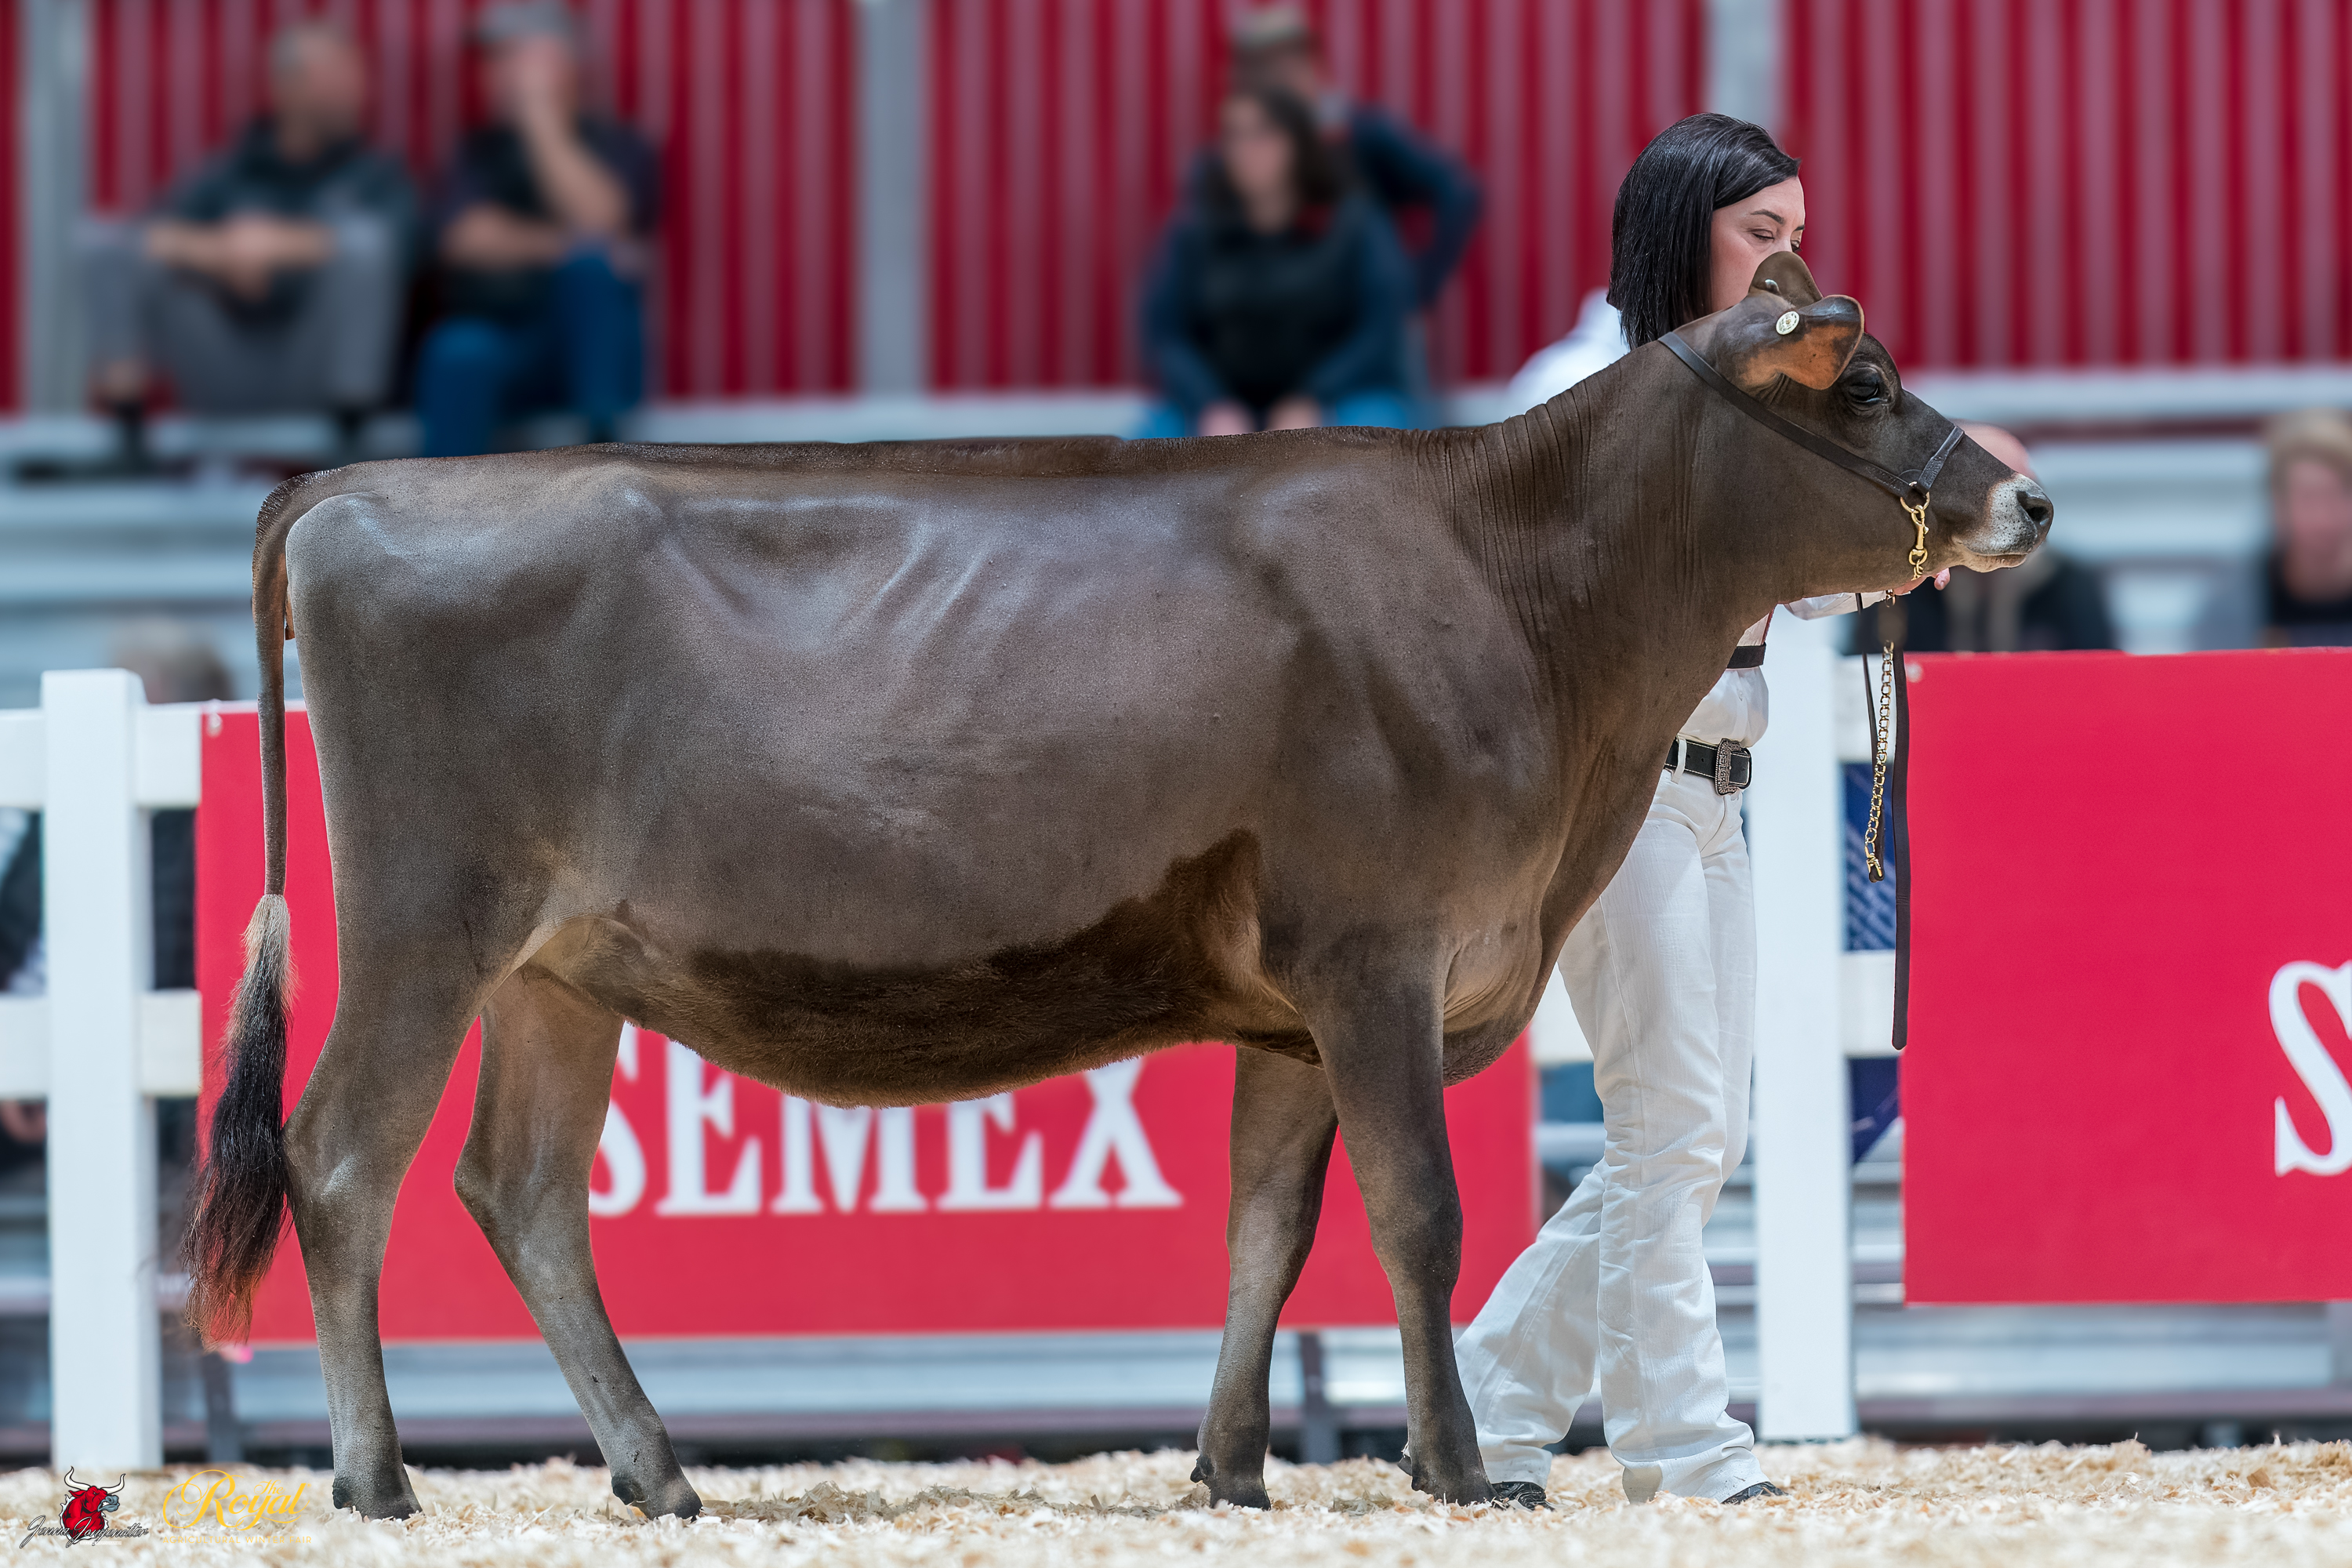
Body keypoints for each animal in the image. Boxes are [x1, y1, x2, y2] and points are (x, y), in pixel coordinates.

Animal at [184, 253, 2049, 1519]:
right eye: (1865, 384)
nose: (2025, 495)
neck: (1524, 596)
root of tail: (350, 489)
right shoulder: (1376, 950)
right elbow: (1422, 1215)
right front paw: (1458, 1468)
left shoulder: (1297, 1009)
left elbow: (1265, 1232)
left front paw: (1231, 1469)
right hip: (426, 920)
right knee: (343, 1157)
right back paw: (379, 1481)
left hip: (558, 969)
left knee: (520, 1189)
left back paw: (658, 1473)